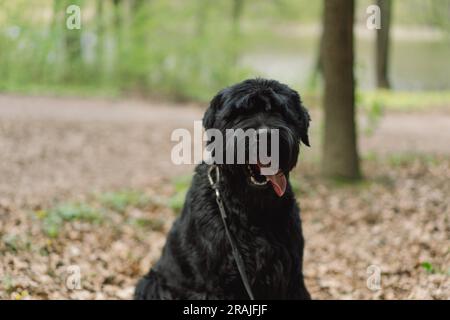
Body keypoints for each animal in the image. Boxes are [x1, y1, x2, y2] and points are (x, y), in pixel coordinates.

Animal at [134, 79, 310, 298]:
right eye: (239, 113)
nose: (265, 136)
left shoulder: (291, 279)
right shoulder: (214, 284)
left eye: (280, 111)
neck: (251, 209)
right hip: (152, 283)